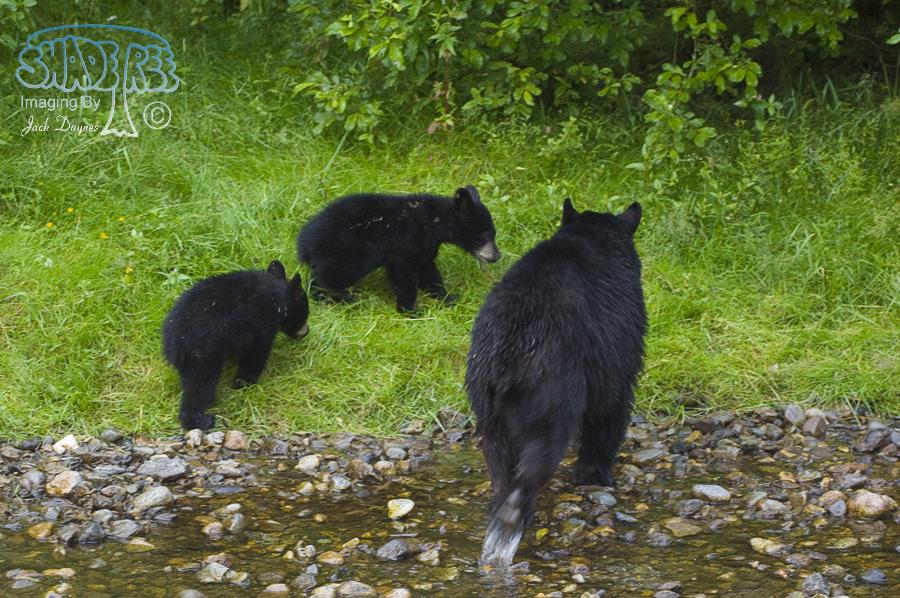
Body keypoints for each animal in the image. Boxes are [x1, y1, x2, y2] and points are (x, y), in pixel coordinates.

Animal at [162, 260, 309, 430]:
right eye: (306, 312)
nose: (306, 332)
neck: (279, 298)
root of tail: (173, 342)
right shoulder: (261, 324)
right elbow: (256, 354)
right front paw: (244, 382)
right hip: (203, 353)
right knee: (199, 387)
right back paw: (203, 420)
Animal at [296, 185, 500, 313]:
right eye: (485, 234)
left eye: (493, 233)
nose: (496, 256)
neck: (434, 222)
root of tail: (303, 243)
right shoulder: (407, 243)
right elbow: (403, 275)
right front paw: (410, 310)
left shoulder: (425, 247)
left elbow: (428, 272)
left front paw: (448, 297)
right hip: (349, 251)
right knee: (329, 276)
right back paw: (344, 297)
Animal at [465, 199, 646, 567]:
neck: (592, 237)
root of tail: (508, 347)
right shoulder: (615, 344)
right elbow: (611, 406)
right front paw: (594, 473)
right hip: (550, 388)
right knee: (543, 447)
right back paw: (514, 510)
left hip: (484, 396)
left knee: (499, 456)